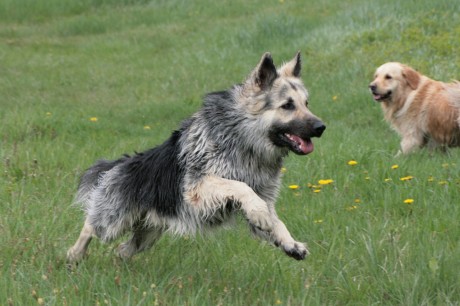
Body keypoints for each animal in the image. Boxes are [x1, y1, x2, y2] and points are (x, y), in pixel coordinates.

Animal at [66, 52, 326, 262]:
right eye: (287, 105)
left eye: (306, 103)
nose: (321, 127)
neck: (243, 138)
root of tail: (123, 163)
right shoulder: (199, 187)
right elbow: (240, 186)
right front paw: (259, 212)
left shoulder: (263, 195)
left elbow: (275, 220)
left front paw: (290, 243)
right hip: (114, 220)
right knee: (91, 227)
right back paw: (74, 256)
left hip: (148, 233)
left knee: (123, 250)